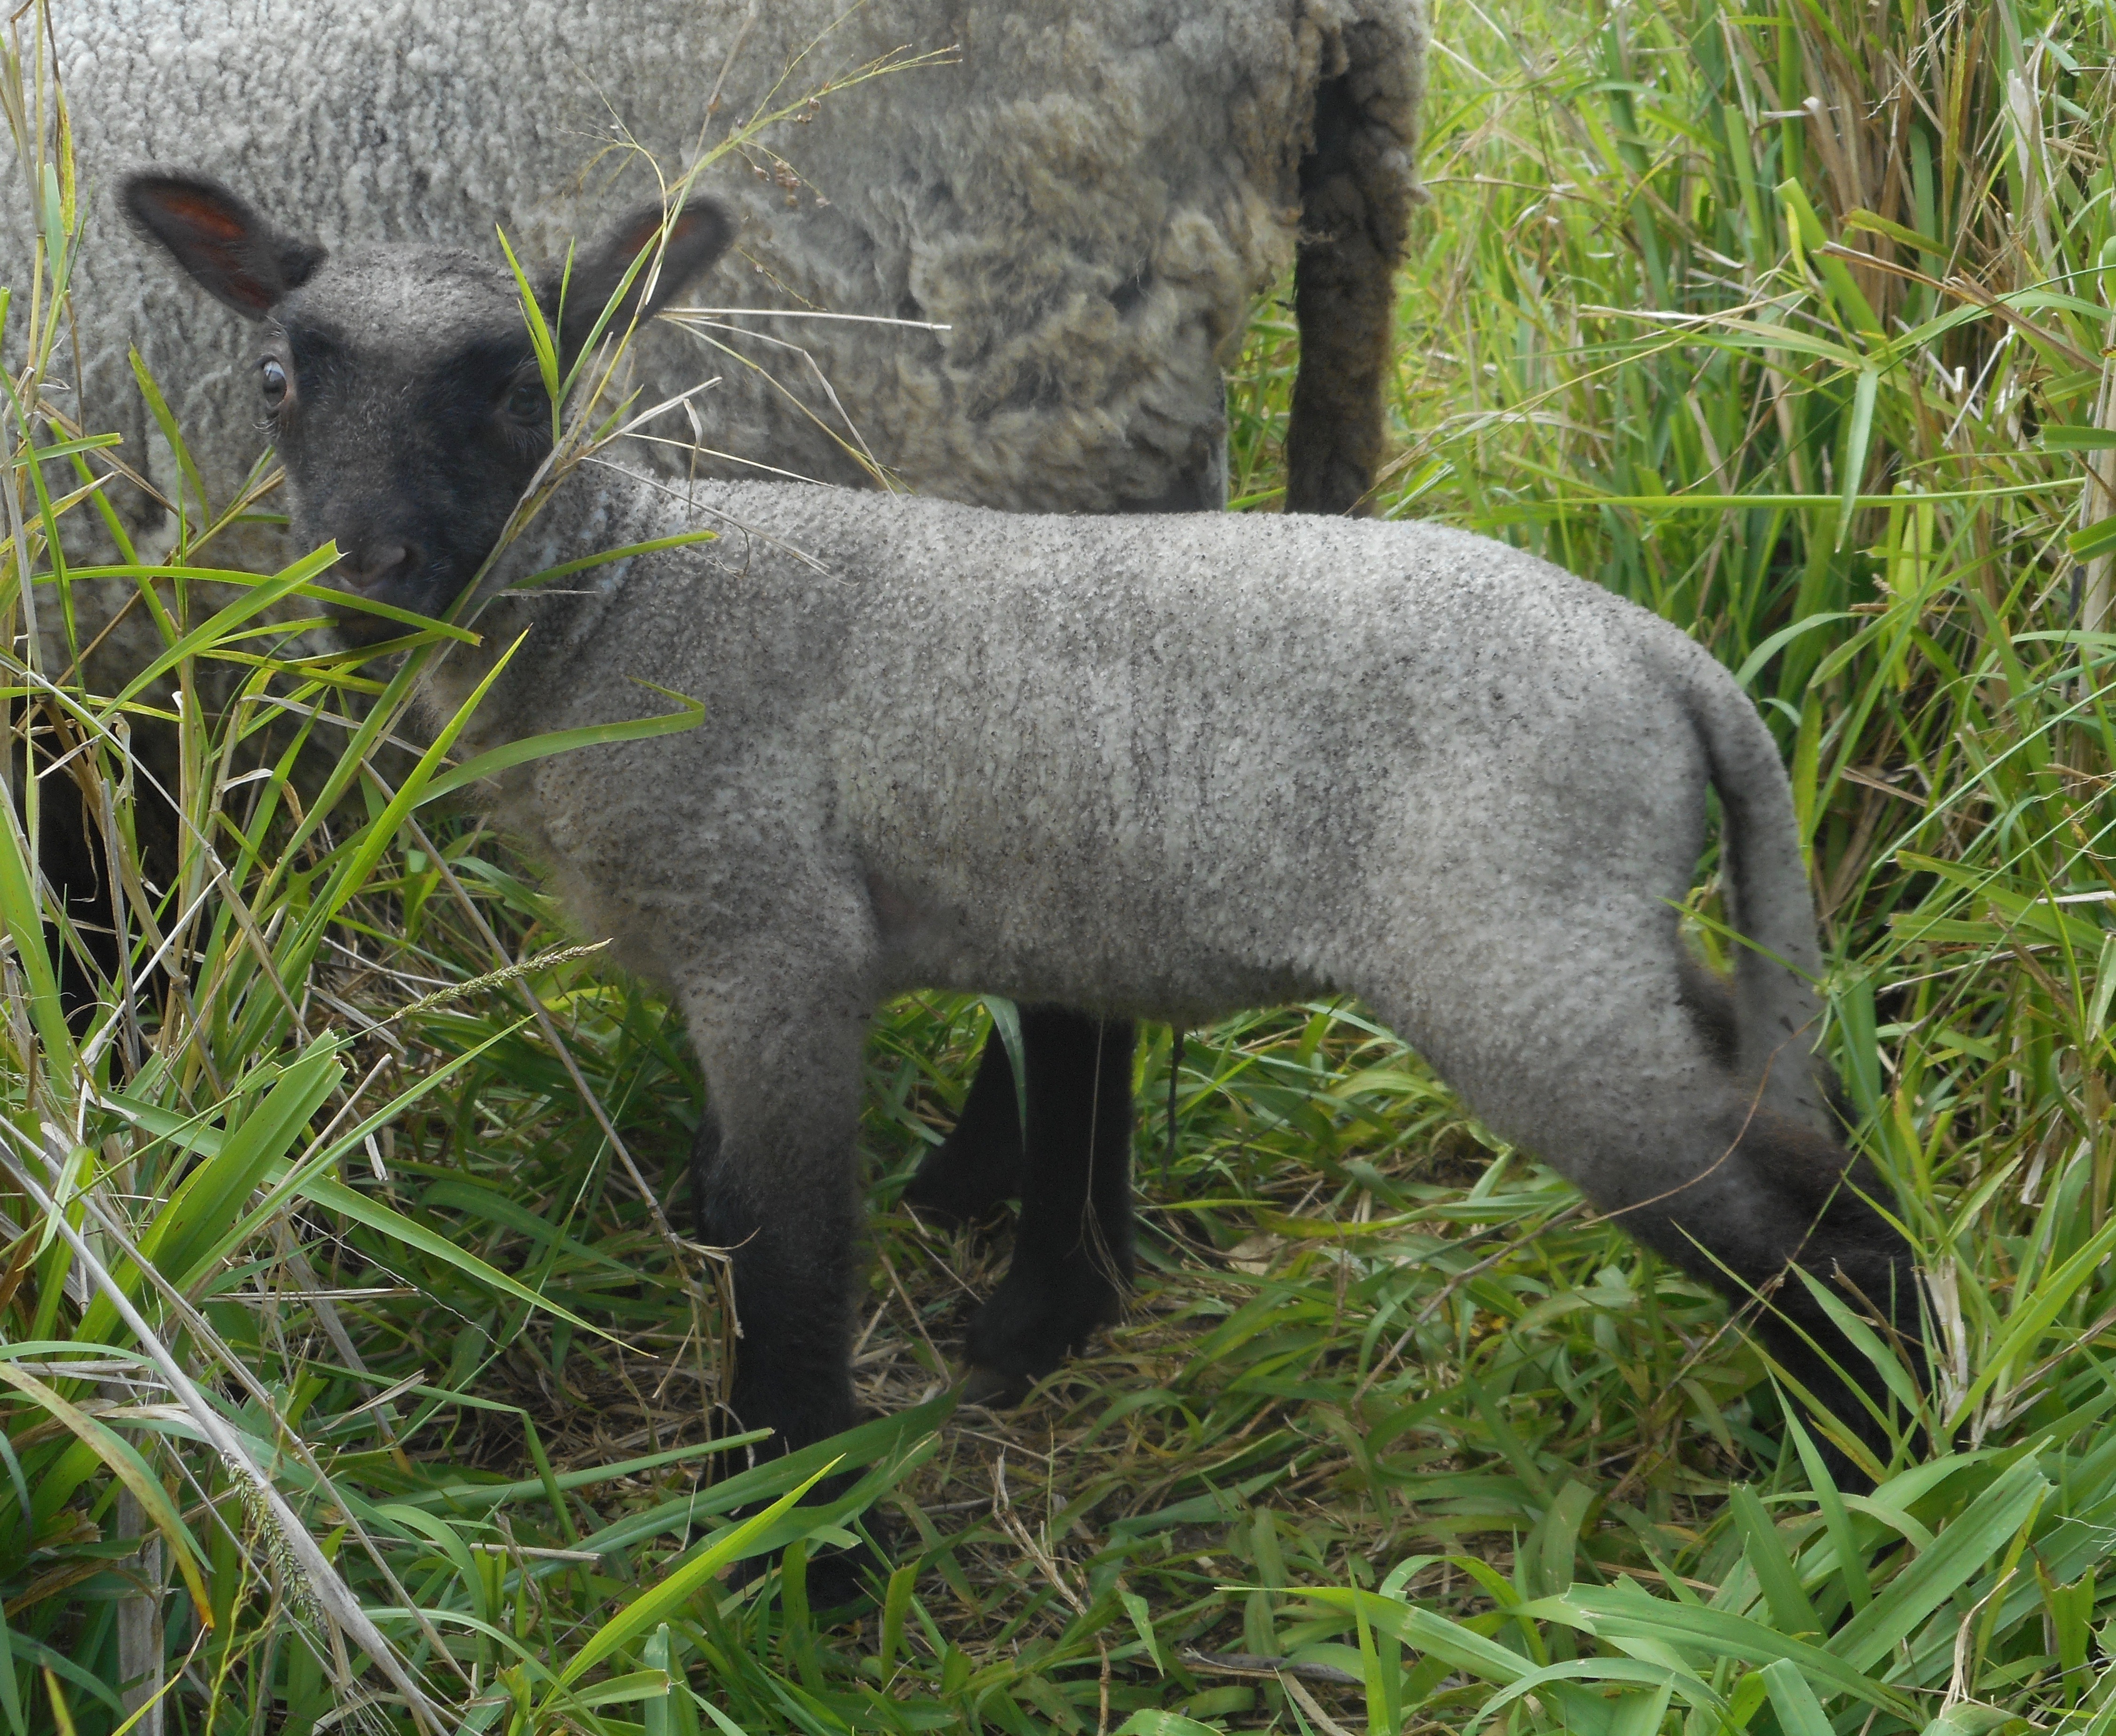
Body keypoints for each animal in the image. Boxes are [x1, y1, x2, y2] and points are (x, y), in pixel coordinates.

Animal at [124, 173, 1929, 1482]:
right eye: (277, 382)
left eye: (522, 394)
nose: (366, 580)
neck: (613, 605)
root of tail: (1666, 660)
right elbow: (734, 1209)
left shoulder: (777, 949)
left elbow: (792, 1263)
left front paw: (790, 1537)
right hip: (1608, 938)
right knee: (1807, 1145)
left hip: (1517, 968)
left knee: (1787, 1232)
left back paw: (1871, 1471)